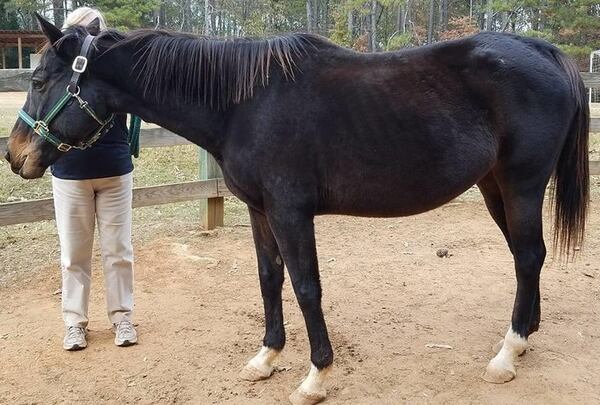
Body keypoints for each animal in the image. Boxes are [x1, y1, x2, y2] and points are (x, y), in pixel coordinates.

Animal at [4, 15, 588, 404]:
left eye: (37, 81)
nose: (16, 156)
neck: (242, 104)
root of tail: (544, 52)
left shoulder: (290, 212)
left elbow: (307, 286)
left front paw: (316, 377)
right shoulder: (261, 212)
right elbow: (269, 279)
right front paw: (266, 358)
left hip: (521, 185)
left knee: (529, 256)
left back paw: (507, 354)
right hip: (494, 188)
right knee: (525, 257)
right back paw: (523, 339)